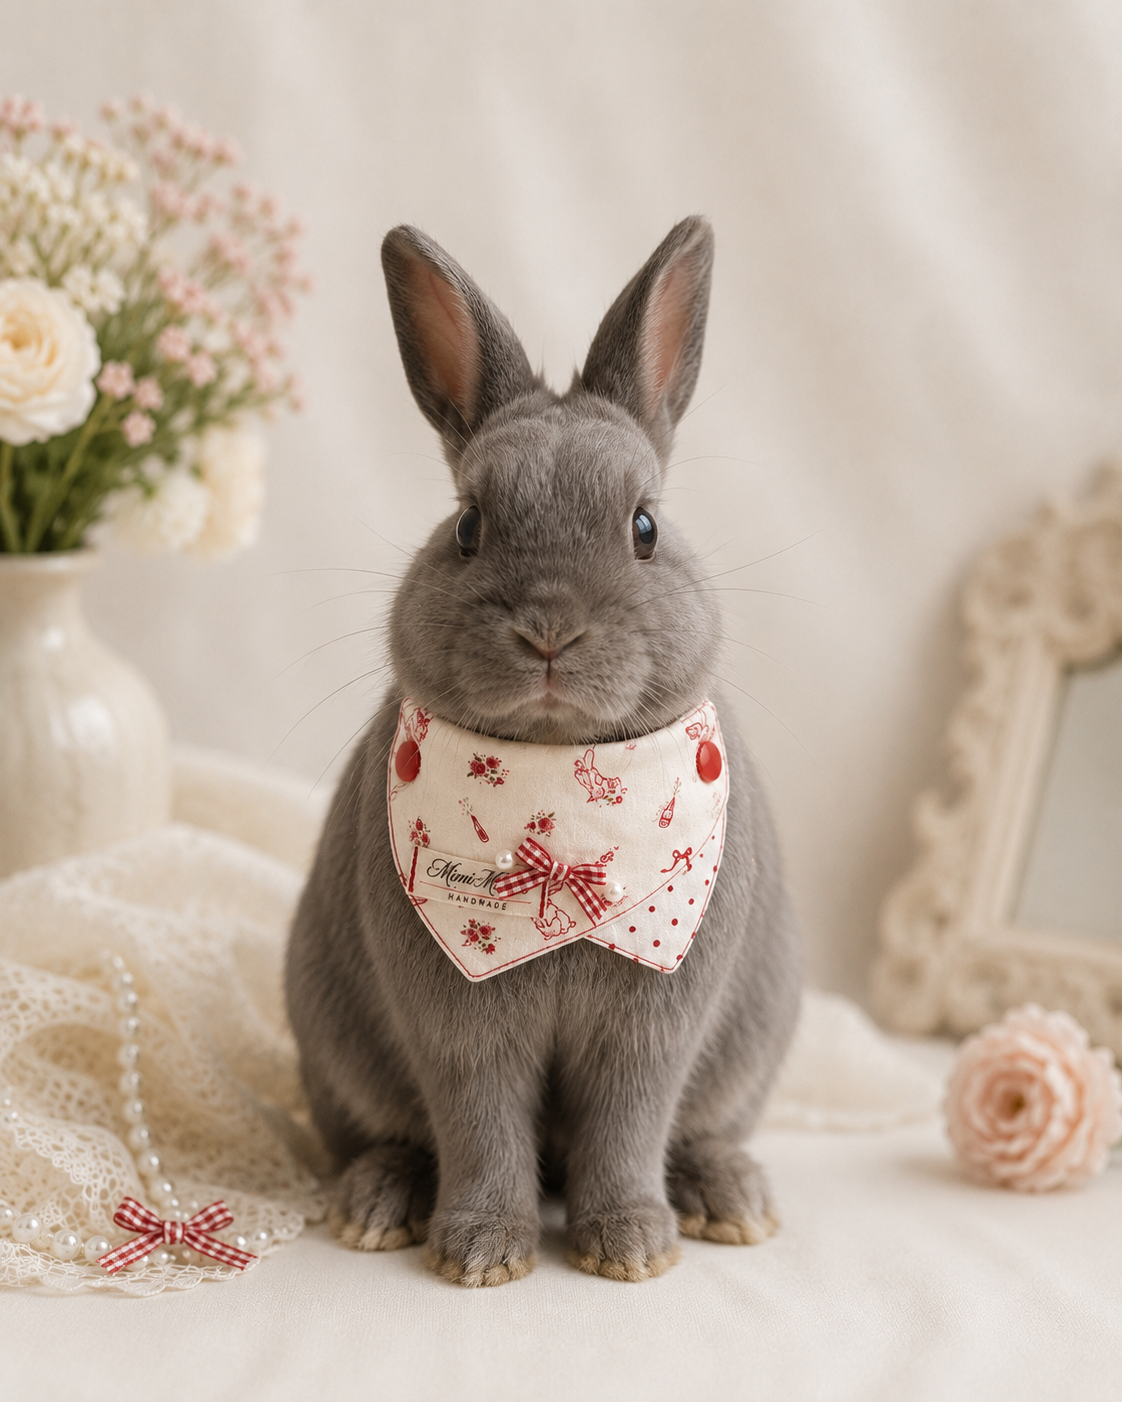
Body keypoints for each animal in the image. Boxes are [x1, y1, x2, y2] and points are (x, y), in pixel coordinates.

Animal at [285, 216, 801, 1286]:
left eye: (645, 527)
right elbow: (480, 1123)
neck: (560, 795)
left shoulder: (651, 1032)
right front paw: (482, 1255)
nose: (551, 632)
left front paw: (631, 1248)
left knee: (698, 1132)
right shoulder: (459, 1027)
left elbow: (628, 1125)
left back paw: (728, 1199)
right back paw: (378, 1205)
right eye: (467, 527)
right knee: (387, 1136)